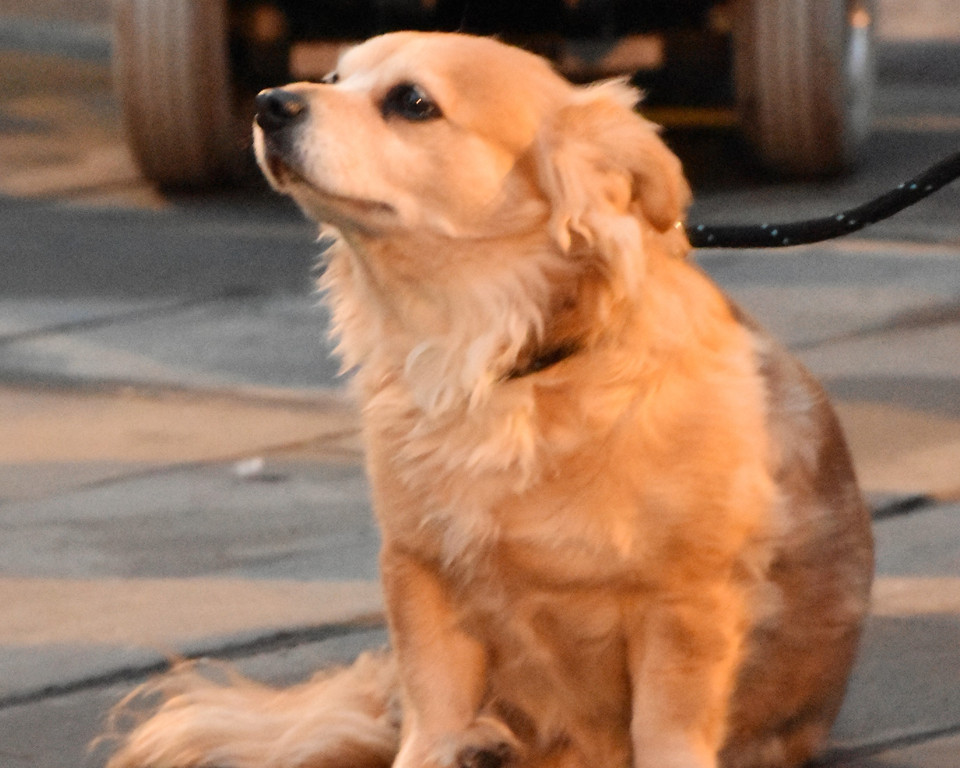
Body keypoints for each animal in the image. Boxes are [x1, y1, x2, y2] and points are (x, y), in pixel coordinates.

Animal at [105, 31, 872, 768]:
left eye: (411, 102)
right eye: (333, 77)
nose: (271, 103)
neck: (488, 357)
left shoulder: (686, 605)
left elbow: (665, 730)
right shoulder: (420, 575)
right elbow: (432, 714)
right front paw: (441, 751)